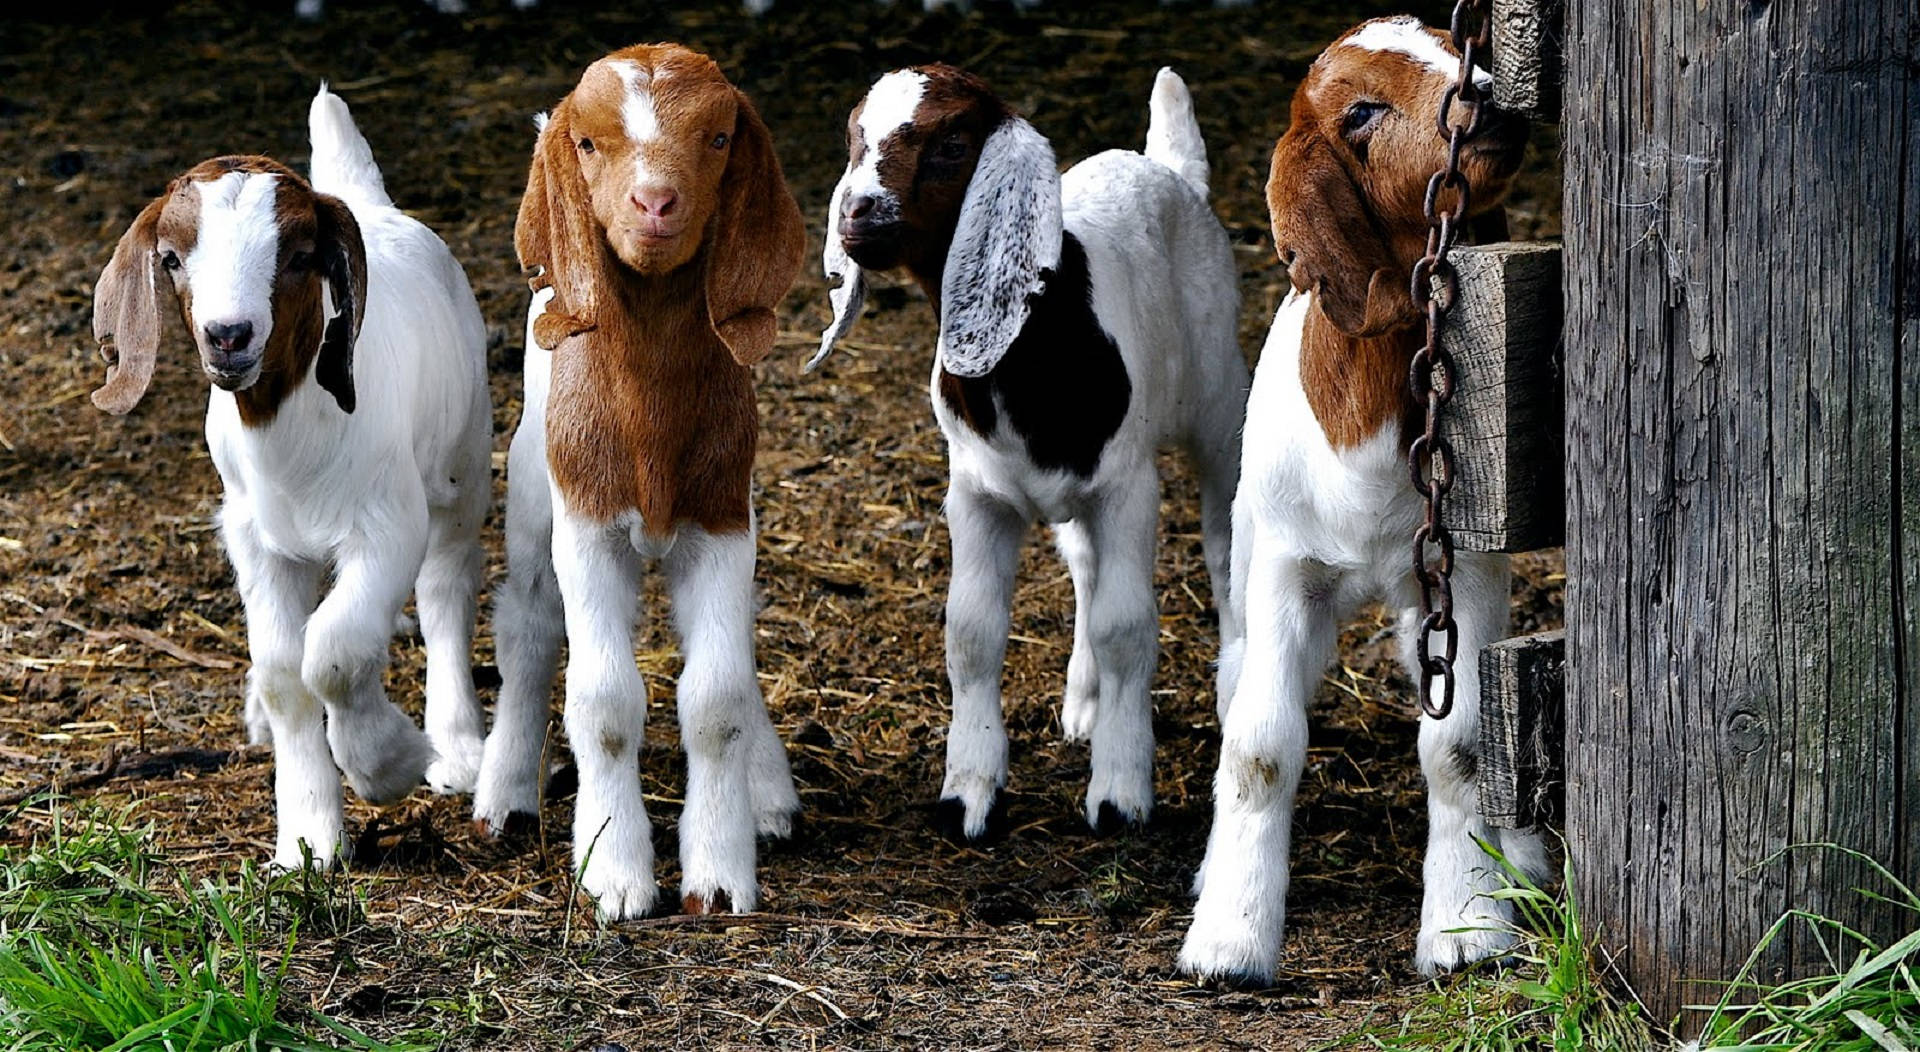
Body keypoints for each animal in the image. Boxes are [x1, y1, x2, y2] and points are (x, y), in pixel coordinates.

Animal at [89, 86, 492, 870]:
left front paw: (390, 763)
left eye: (302, 255)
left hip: (461, 465)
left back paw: (457, 748)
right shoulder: (256, 538)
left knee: (445, 589)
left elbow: (333, 653)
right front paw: (309, 837)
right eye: (171, 258)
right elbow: (284, 673)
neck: (287, 424)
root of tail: (373, 204)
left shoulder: (387, 526)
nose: (229, 335)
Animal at [473, 44, 805, 919]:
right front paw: (615, 869)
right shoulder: (586, 527)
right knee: (527, 627)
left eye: (719, 138)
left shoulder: (724, 522)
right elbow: (604, 702)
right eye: (588, 143)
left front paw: (718, 872)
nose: (655, 203)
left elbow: (717, 696)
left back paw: (769, 794)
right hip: (535, 498)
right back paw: (503, 792)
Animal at [813, 65, 1249, 841]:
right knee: (1084, 565)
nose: (857, 213)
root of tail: (1166, 168)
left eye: (952, 143)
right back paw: (1084, 702)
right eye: (855, 136)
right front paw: (968, 791)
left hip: (1219, 402)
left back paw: (1228, 693)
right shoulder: (977, 493)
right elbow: (972, 631)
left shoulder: (1127, 486)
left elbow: (1127, 625)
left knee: (1224, 550)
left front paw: (1121, 792)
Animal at [1177, 16, 1549, 983]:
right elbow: (1260, 748)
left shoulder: (1459, 575)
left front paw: (1468, 928)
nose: (1488, 97)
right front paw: (1229, 941)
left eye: (1457, 43)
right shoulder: (1283, 569)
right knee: (1235, 686)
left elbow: (1461, 748)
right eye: (1361, 113)